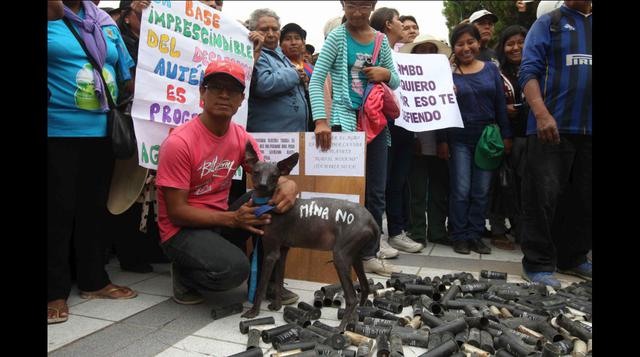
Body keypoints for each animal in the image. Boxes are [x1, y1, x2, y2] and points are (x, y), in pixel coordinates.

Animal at [241, 140, 380, 330]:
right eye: (256, 172)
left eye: (274, 176)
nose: (262, 185)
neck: (269, 205)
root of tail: (371, 220)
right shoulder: (282, 251)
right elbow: (279, 279)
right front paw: (276, 305)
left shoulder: (270, 253)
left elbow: (261, 285)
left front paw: (253, 312)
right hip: (355, 256)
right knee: (365, 287)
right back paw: (354, 321)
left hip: (341, 256)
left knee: (352, 297)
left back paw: (340, 329)